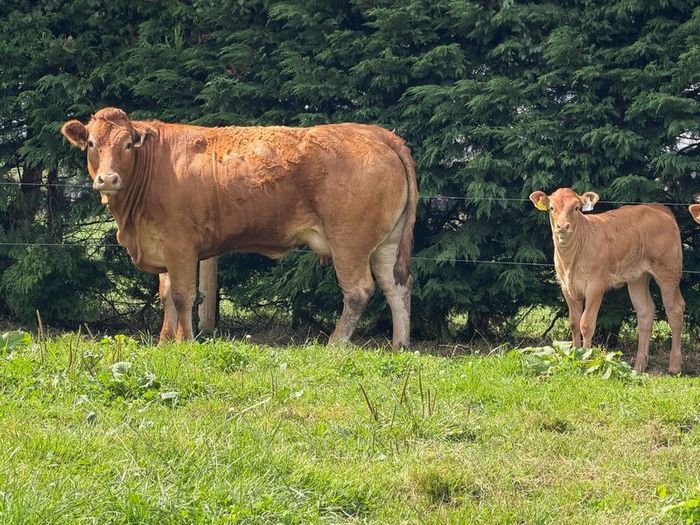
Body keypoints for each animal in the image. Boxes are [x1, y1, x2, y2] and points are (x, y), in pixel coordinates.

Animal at [61, 108, 418, 347]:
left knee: (359, 291)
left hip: (349, 242)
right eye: (91, 143)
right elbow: (165, 296)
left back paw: (335, 345)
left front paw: (184, 342)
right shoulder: (162, 246)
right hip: (385, 244)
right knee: (396, 286)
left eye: (127, 144)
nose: (108, 179)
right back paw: (399, 345)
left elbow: (182, 295)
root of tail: (376, 133)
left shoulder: (181, 246)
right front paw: (165, 342)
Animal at [529, 188, 684, 373]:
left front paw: (586, 359)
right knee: (645, 312)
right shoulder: (566, 287)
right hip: (638, 277)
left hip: (668, 272)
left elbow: (586, 323)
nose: (563, 226)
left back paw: (674, 366)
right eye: (552, 208)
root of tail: (659, 208)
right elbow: (574, 322)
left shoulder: (595, 286)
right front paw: (575, 354)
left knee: (675, 310)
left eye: (577, 208)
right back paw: (639, 365)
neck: (570, 259)